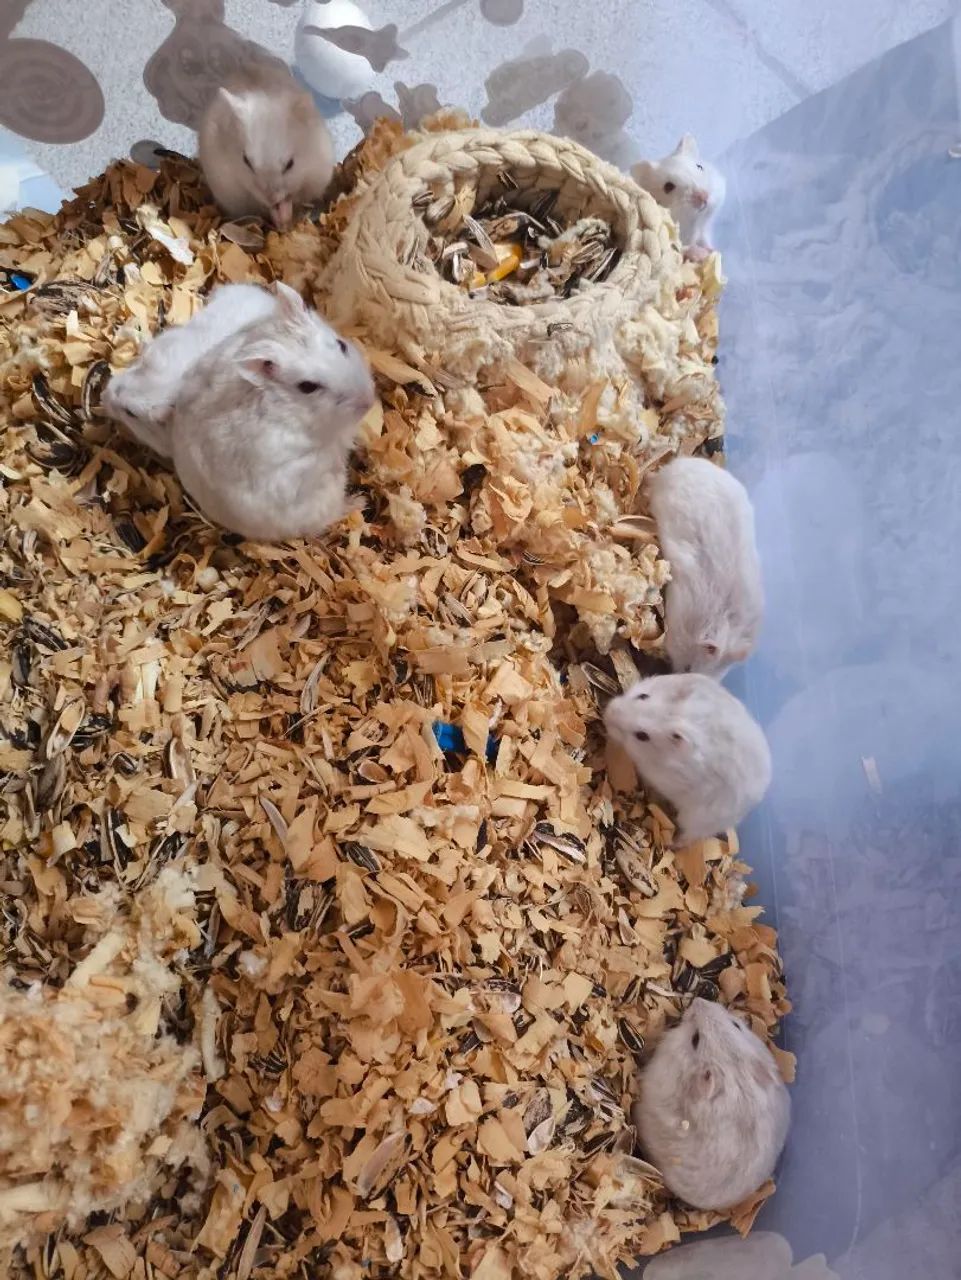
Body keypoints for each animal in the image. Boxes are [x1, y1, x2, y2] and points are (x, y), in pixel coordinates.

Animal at [198, 64, 334, 230]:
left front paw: (284, 216)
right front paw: (278, 217)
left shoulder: (313, 179)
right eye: (246, 161)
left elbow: (293, 197)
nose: (272, 199)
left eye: (290, 164)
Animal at [603, 673, 771, 845]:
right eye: (643, 696)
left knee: (689, 837)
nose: (607, 713)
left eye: (642, 736)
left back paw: (673, 843)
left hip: (698, 820)